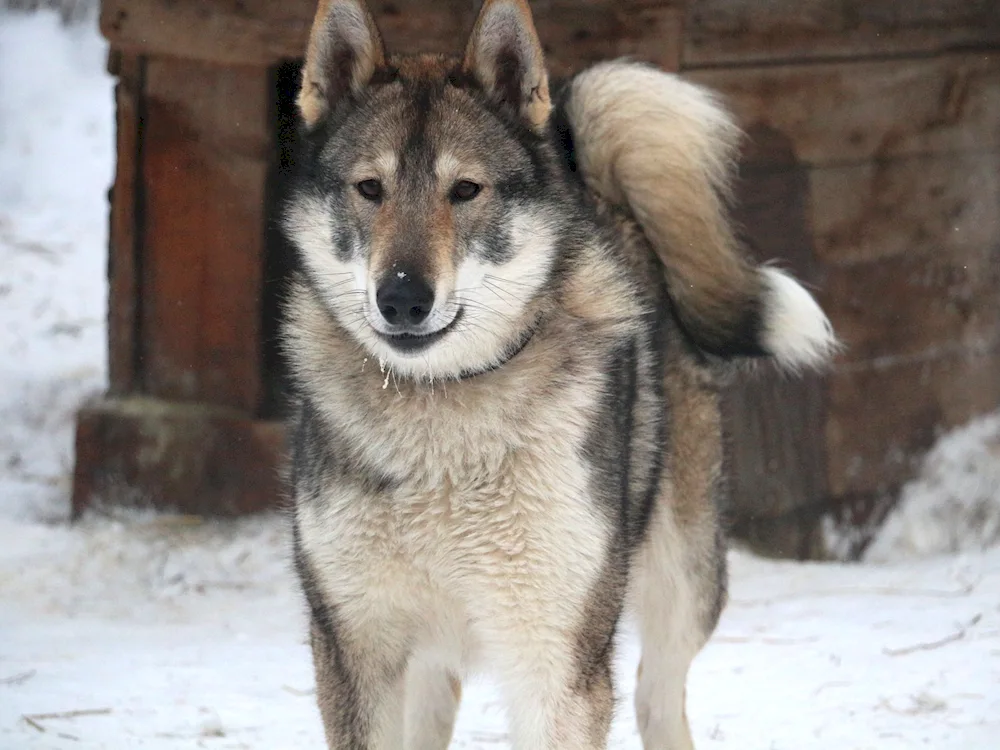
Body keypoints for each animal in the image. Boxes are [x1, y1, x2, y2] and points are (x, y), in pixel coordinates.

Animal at [280, 0, 836, 748]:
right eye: (370, 189)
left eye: (466, 190)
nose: (401, 298)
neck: (443, 414)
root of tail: (600, 195)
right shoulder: (353, 651)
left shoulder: (556, 660)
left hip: (682, 581)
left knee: (658, 694)